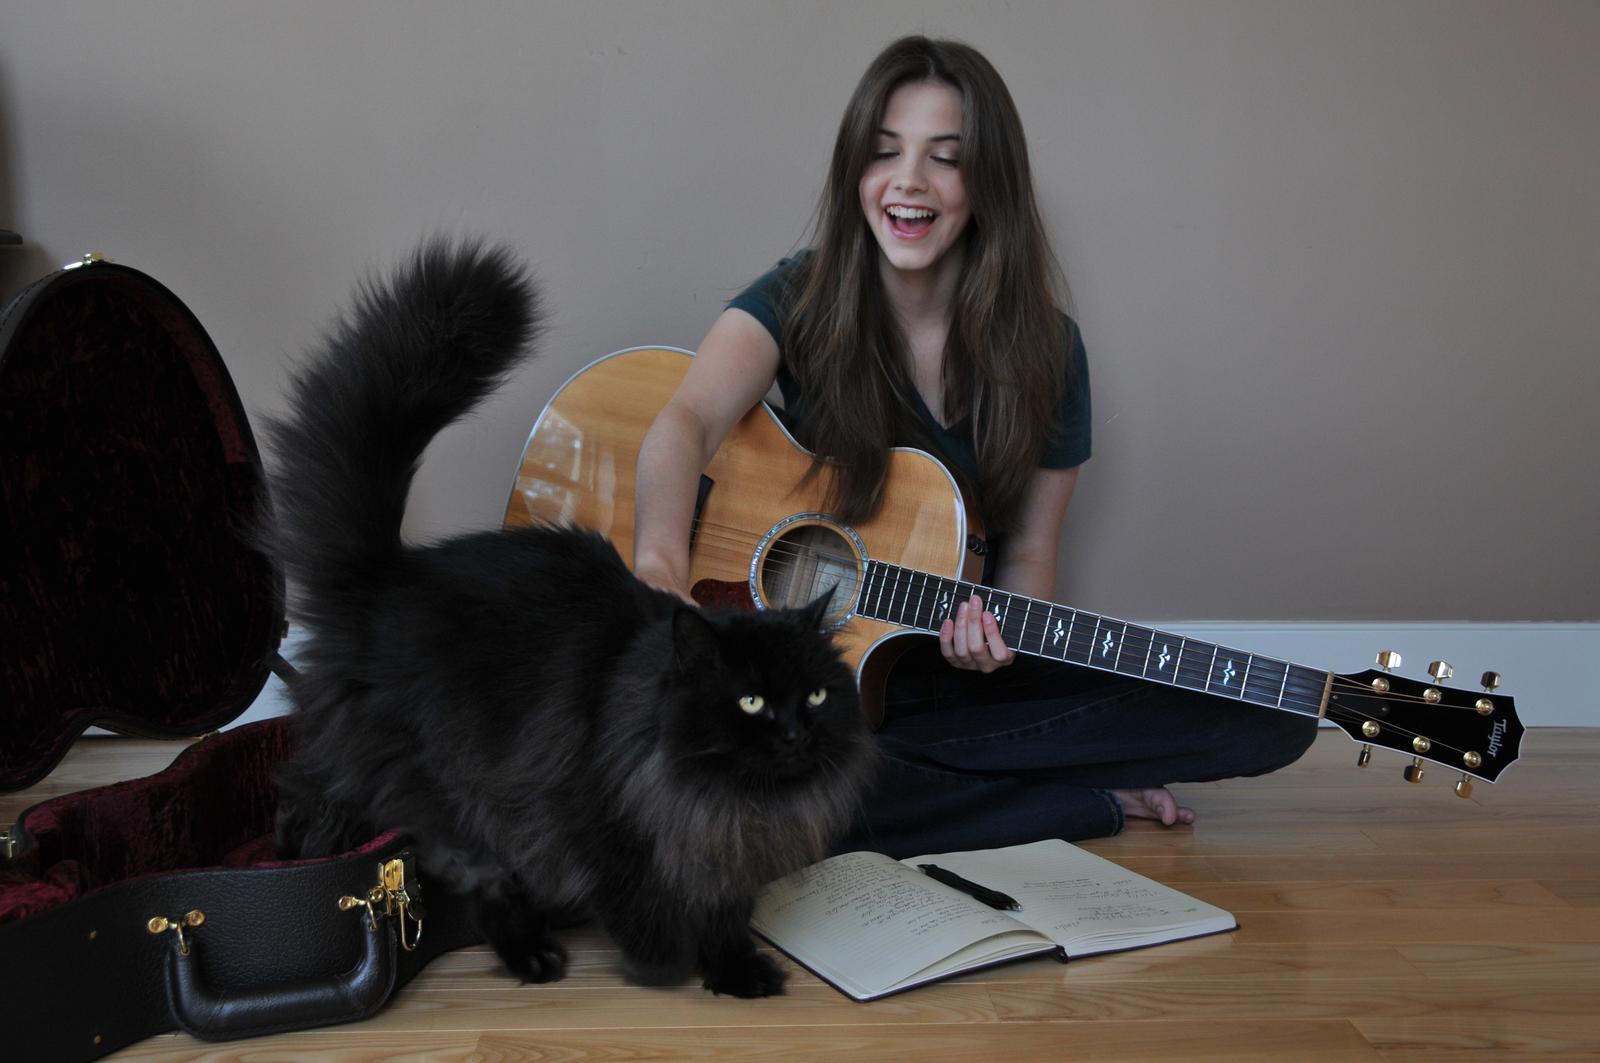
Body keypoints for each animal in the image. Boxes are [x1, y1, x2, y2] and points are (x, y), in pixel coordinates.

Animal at [265, 239, 877, 997]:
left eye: (816, 695)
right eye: (751, 701)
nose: (795, 732)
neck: (727, 798)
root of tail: (387, 576)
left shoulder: (720, 855)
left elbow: (726, 913)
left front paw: (738, 973)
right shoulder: (599, 820)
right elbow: (648, 910)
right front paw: (663, 967)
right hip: (447, 791)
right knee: (340, 809)